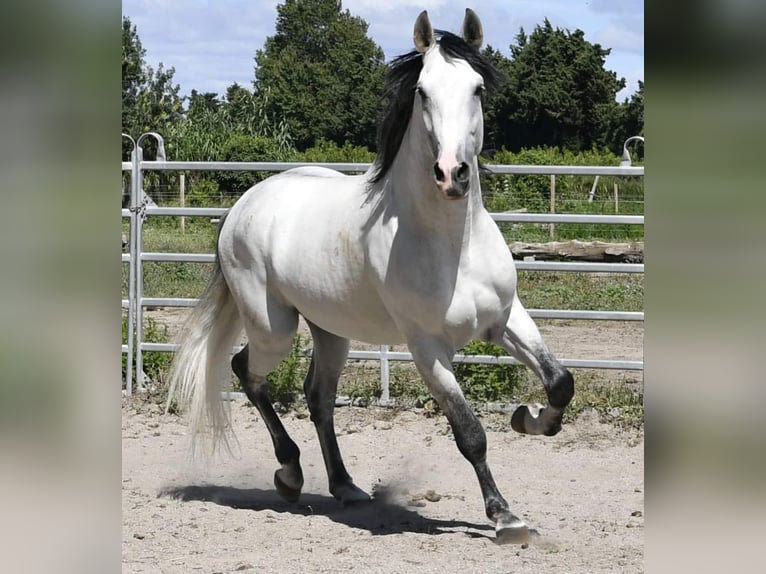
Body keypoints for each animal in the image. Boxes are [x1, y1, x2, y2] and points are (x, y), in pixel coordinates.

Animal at [170, 10, 576, 548]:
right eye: (422, 91)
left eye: (478, 88)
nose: (452, 174)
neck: (453, 248)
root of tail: (245, 203)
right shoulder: (427, 348)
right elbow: (469, 432)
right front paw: (505, 517)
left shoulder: (505, 320)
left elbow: (559, 383)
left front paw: (527, 418)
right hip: (274, 328)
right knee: (246, 372)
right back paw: (289, 474)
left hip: (331, 331)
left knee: (318, 397)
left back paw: (345, 486)